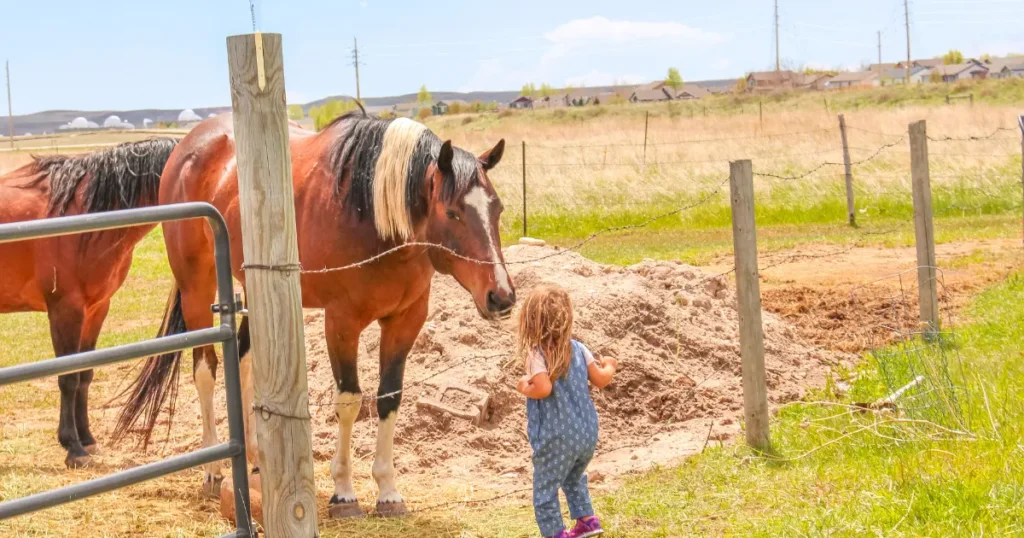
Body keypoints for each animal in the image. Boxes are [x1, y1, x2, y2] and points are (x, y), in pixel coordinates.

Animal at [0, 137, 180, 465]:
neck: (88, 214)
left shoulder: (96, 309)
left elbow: (85, 374)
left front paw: (86, 438)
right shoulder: (65, 310)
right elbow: (68, 378)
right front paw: (73, 447)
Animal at [113, 111, 516, 514]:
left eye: (497, 209)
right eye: (453, 212)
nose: (501, 296)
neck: (372, 217)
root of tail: (188, 143)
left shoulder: (406, 321)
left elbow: (389, 397)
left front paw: (387, 490)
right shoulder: (341, 322)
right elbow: (350, 401)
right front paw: (344, 492)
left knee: (244, 361)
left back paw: (256, 458)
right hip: (196, 286)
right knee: (205, 370)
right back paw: (213, 469)